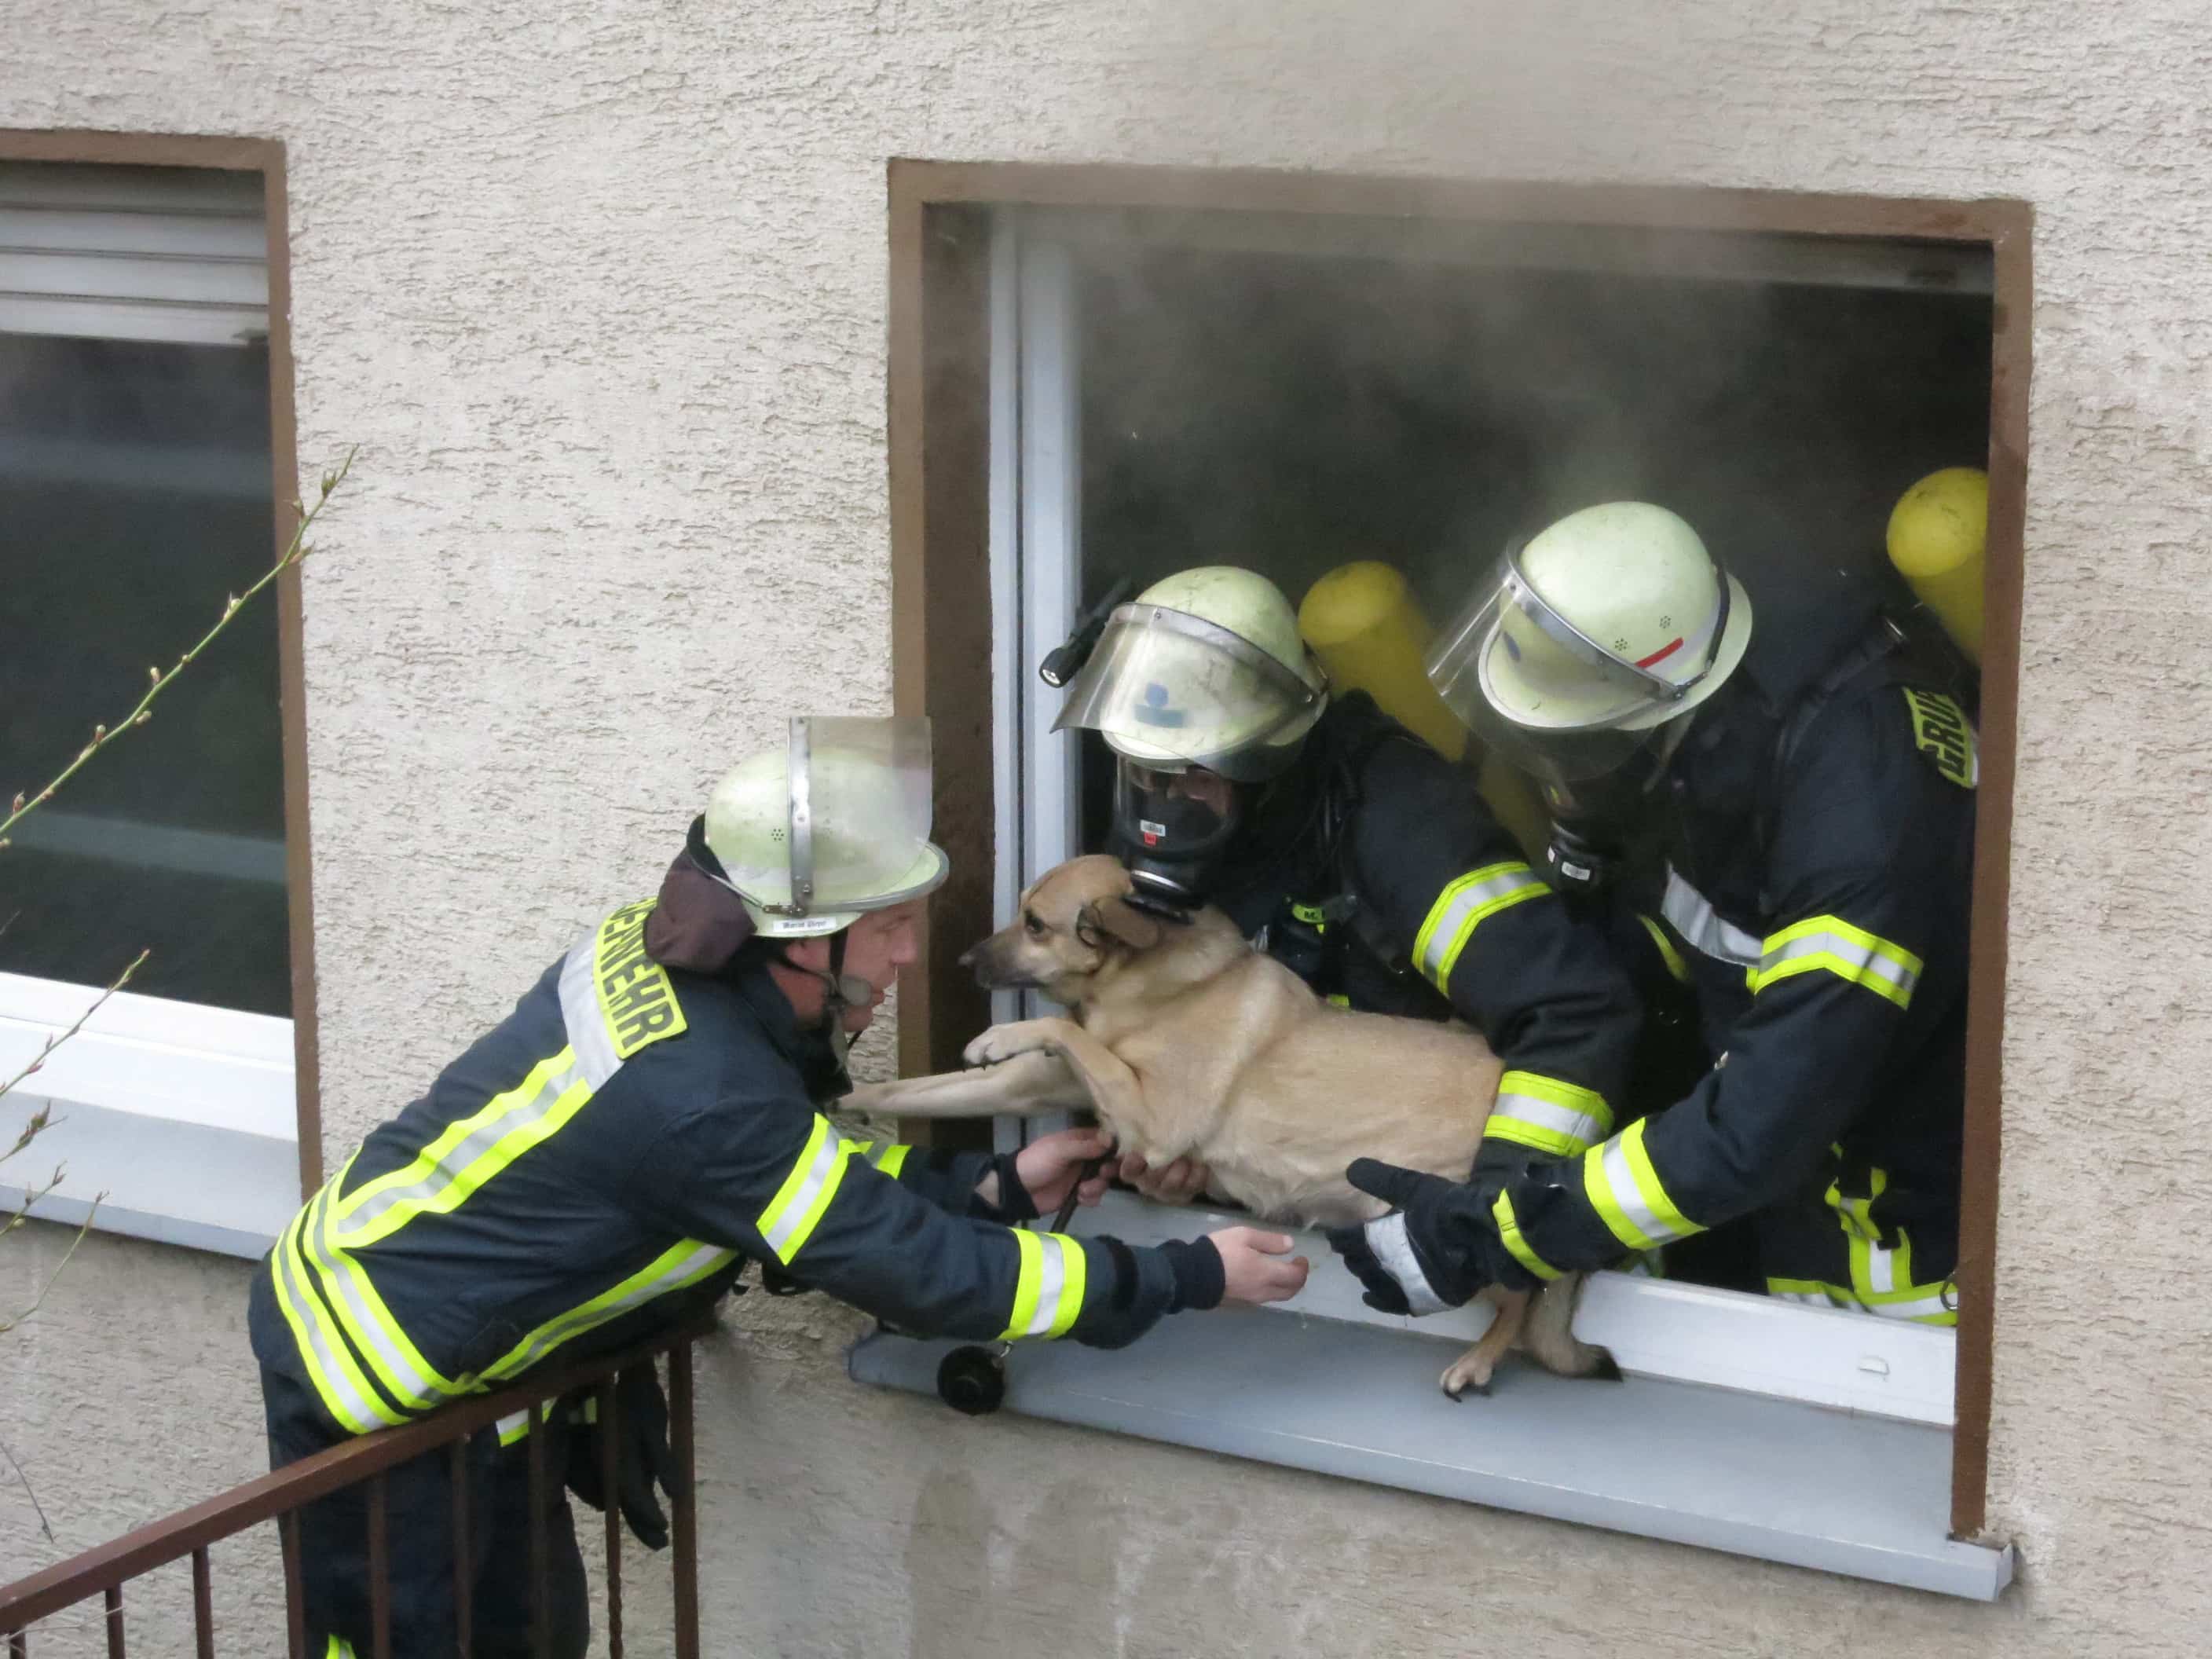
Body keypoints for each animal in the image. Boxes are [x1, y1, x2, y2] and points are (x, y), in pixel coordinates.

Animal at [840, 849, 1610, 1397]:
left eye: (1035, 925)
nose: (963, 959)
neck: (1140, 980)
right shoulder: (1039, 1086)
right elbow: (921, 1090)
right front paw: (848, 1102)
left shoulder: (1152, 1116)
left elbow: (1063, 1028)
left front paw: (1005, 1033)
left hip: (1430, 1224)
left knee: (1521, 1292)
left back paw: (1479, 1361)